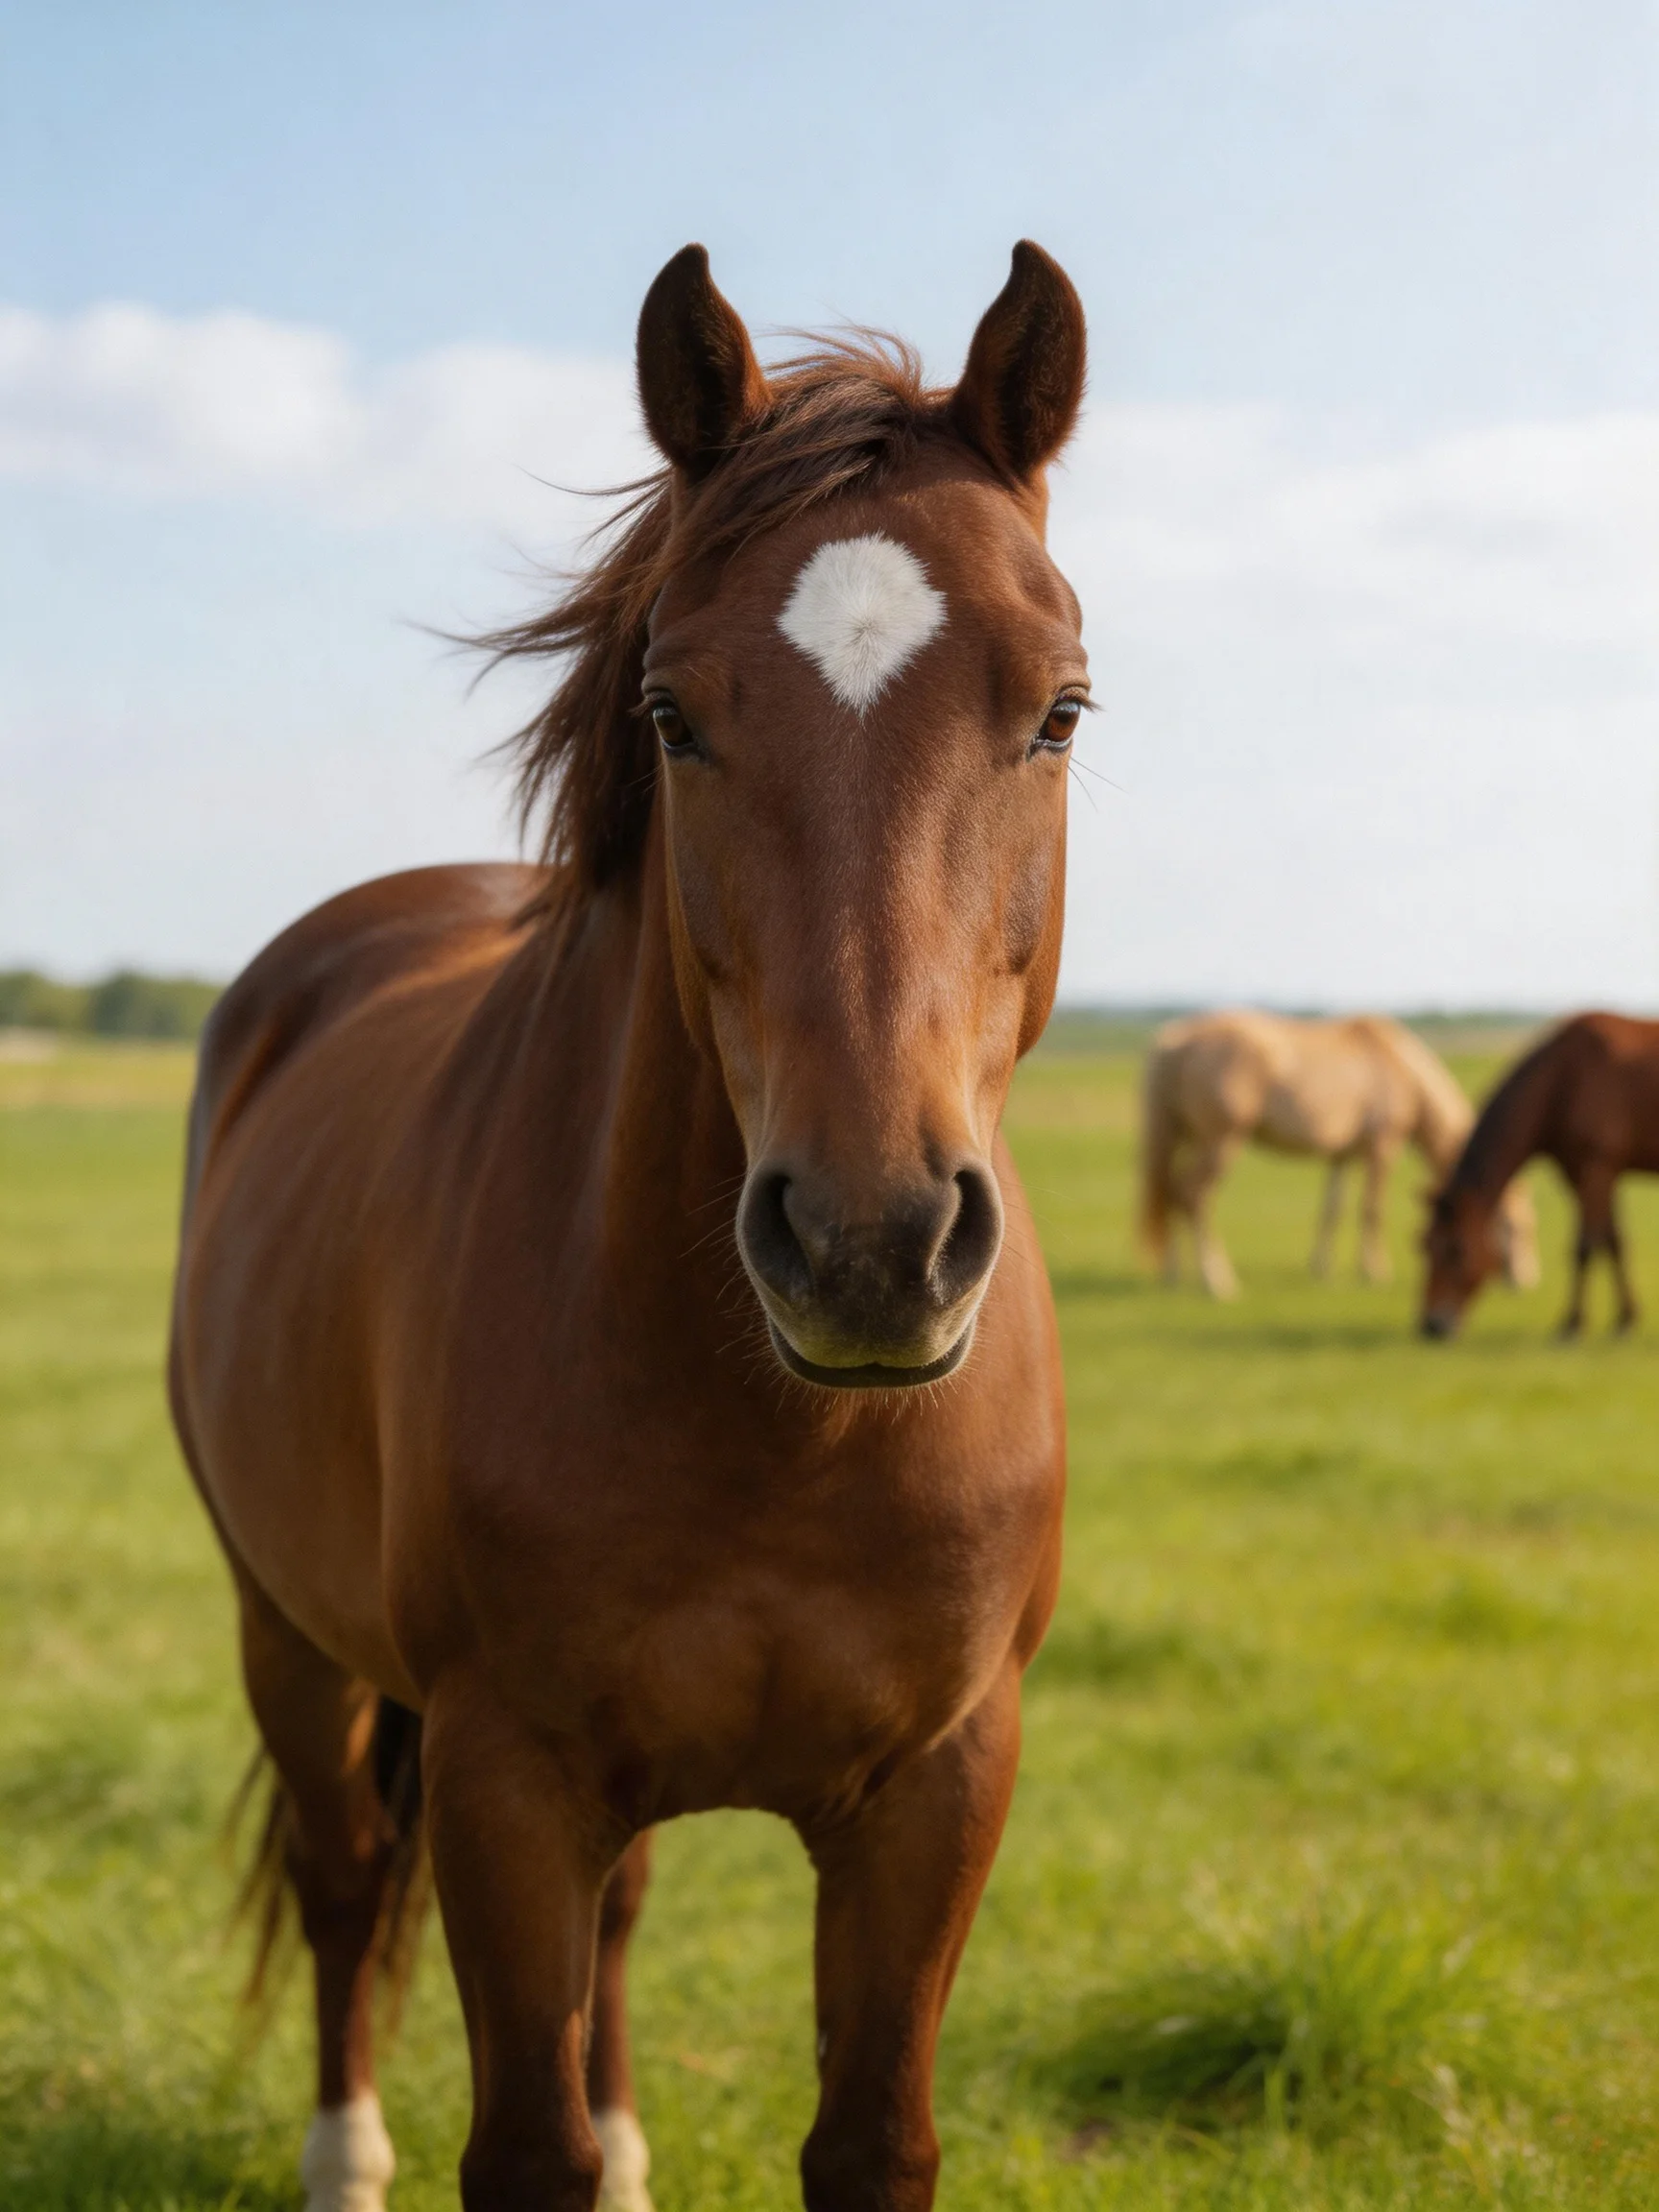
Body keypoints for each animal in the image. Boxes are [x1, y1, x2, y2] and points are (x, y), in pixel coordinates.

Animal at [167, 241, 1089, 2212]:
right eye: (673, 714)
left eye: (1058, 708)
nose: (871, 1241)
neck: (780, 1427)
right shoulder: (508, 1780)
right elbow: (524, 2142)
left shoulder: (939, 1787)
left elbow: (865, 2138)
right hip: (285, 1632)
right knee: (343, 1878)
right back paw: (341, 2153)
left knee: (620, 1922)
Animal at [1140, 1010, 1539, 1300]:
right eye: (1516, 1227)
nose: (1527, 1280)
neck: (1401, 1068)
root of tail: (1174, 1042)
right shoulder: (1382, 1148)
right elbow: (1371, 1210)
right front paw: (1375, 1272)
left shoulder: (1342, 1155)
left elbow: (1332, 1209)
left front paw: (1320, 1269)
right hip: (1220, 1141)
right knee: (1193, 1195)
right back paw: (1217, 1281)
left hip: (1185, 1137)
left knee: (1170, 1190)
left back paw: (1173, 1274)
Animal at [1422, 1011, 1659, 1338]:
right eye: (1424, 1245)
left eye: (1455, 1250)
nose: (1431, 1325)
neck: (1565, 1079)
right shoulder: (1587, 1174)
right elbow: (1613, 1242)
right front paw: (1626, 1319)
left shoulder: (1595, 1170)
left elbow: (1585, 1246)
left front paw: (1573, 1324)